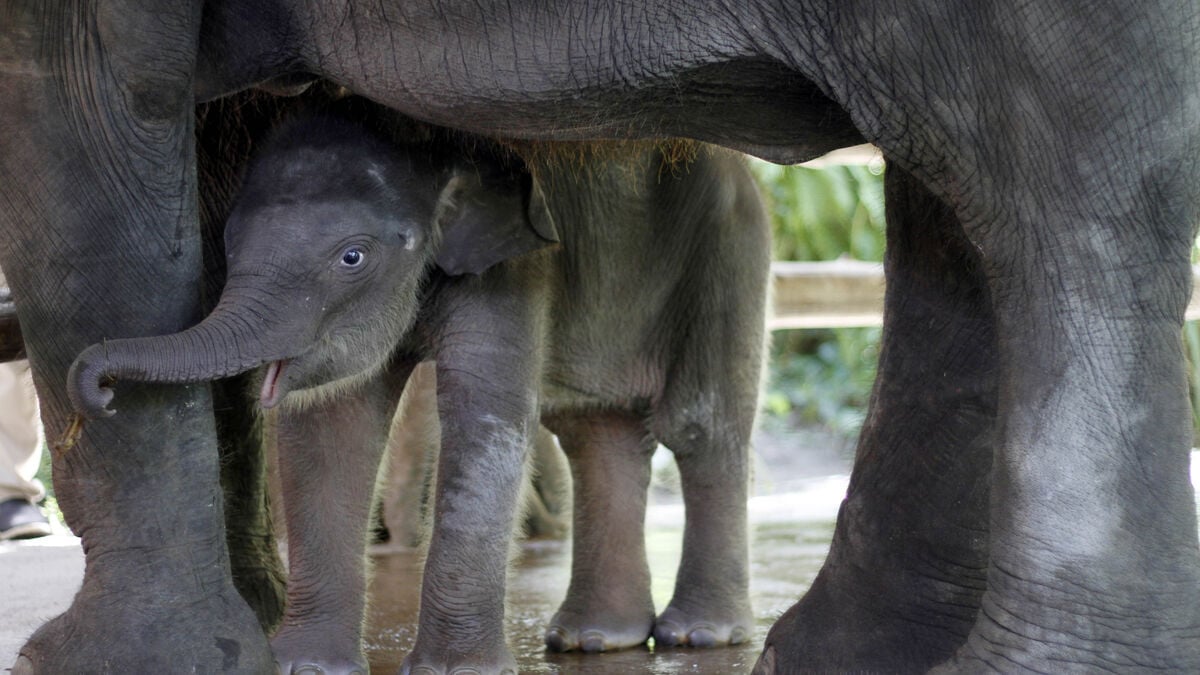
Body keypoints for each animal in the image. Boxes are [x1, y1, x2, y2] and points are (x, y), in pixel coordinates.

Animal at [66, 103, 771, 672]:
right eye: (228, 242)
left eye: (352, 257)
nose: (97, 390)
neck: (435, 147)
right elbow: (333, 429)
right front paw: (304, 668)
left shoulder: (518, 260)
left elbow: (483, 419)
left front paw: (455, 673)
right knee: (596, 428)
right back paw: (595, 640)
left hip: (730, 246)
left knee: (698, 424)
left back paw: (699, 637)